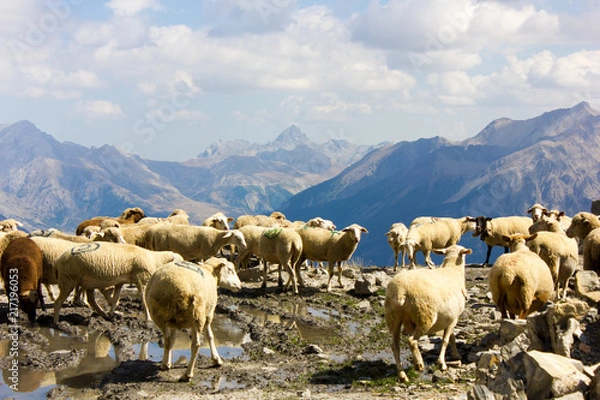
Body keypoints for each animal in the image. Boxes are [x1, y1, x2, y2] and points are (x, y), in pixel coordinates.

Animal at [52, 242, 182, 324]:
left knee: (91, 300)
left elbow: (116, 298)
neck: (155, 259)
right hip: (68, 279)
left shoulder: (121, 281)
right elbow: (144, 300)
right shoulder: (141, 279)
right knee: (58, 302)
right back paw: (56, 323)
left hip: (88, 281)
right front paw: (149, 319)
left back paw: (104, 315)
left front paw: (111, 313)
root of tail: (58, 261)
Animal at [384, 244, 474, 382]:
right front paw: (442, 363)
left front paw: (456, 355)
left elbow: (452, 336)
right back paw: (419, 364)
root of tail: (400, 291)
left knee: (395, 346)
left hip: (393, 318)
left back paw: (402, 374)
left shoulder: (450, 319)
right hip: (425, 316)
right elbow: (445, 340)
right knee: (412, 341)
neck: (452, 272)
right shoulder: (453, 319)